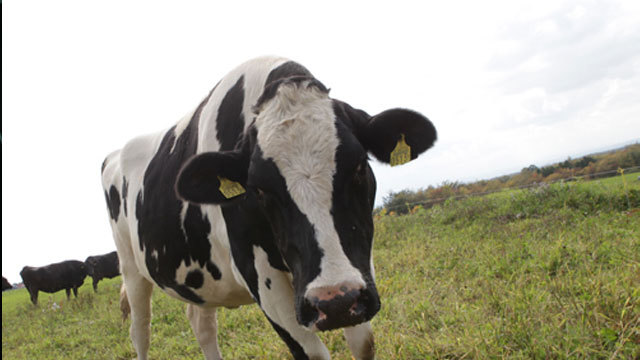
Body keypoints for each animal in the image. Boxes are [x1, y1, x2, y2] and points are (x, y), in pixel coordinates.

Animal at [101, 56, 440, 360]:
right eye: (260, 189)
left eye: (358, 166)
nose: (334, 302)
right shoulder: (260, 274)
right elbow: (312, 353)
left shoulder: (359, 266)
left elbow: (364, 344)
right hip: (131, 268)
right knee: (140, 331)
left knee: (202, 324)